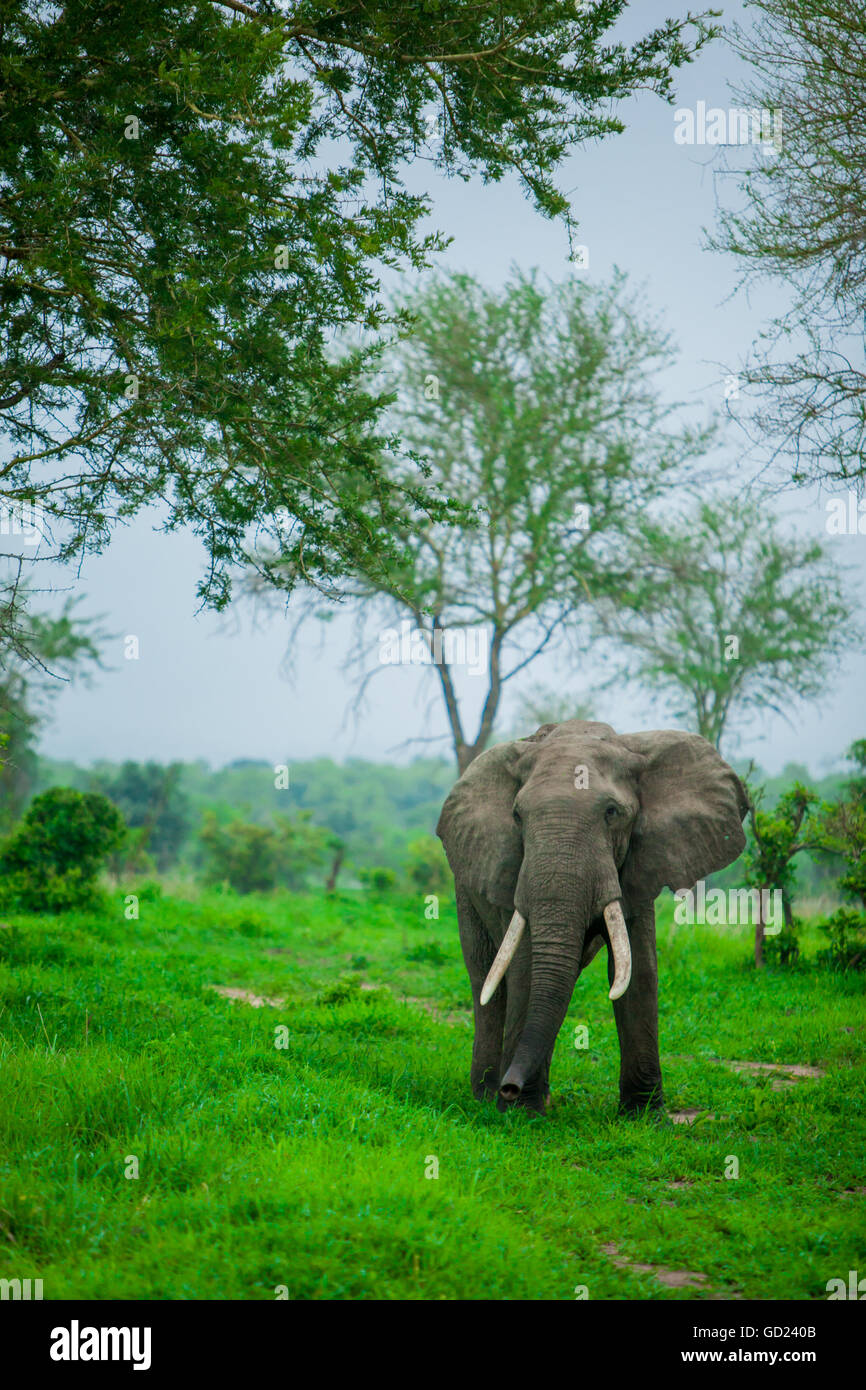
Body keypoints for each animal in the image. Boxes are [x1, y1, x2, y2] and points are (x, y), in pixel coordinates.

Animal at [436, 722, 750, 1112]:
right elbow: (526, 969)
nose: (511, 1088)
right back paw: (485, 1096)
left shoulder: (640, 862)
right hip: (464, 886)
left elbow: (638, 969)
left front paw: (645, 1116)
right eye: (517, 816)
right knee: (486, 977)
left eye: (612, 812)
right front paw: (520, 1113)